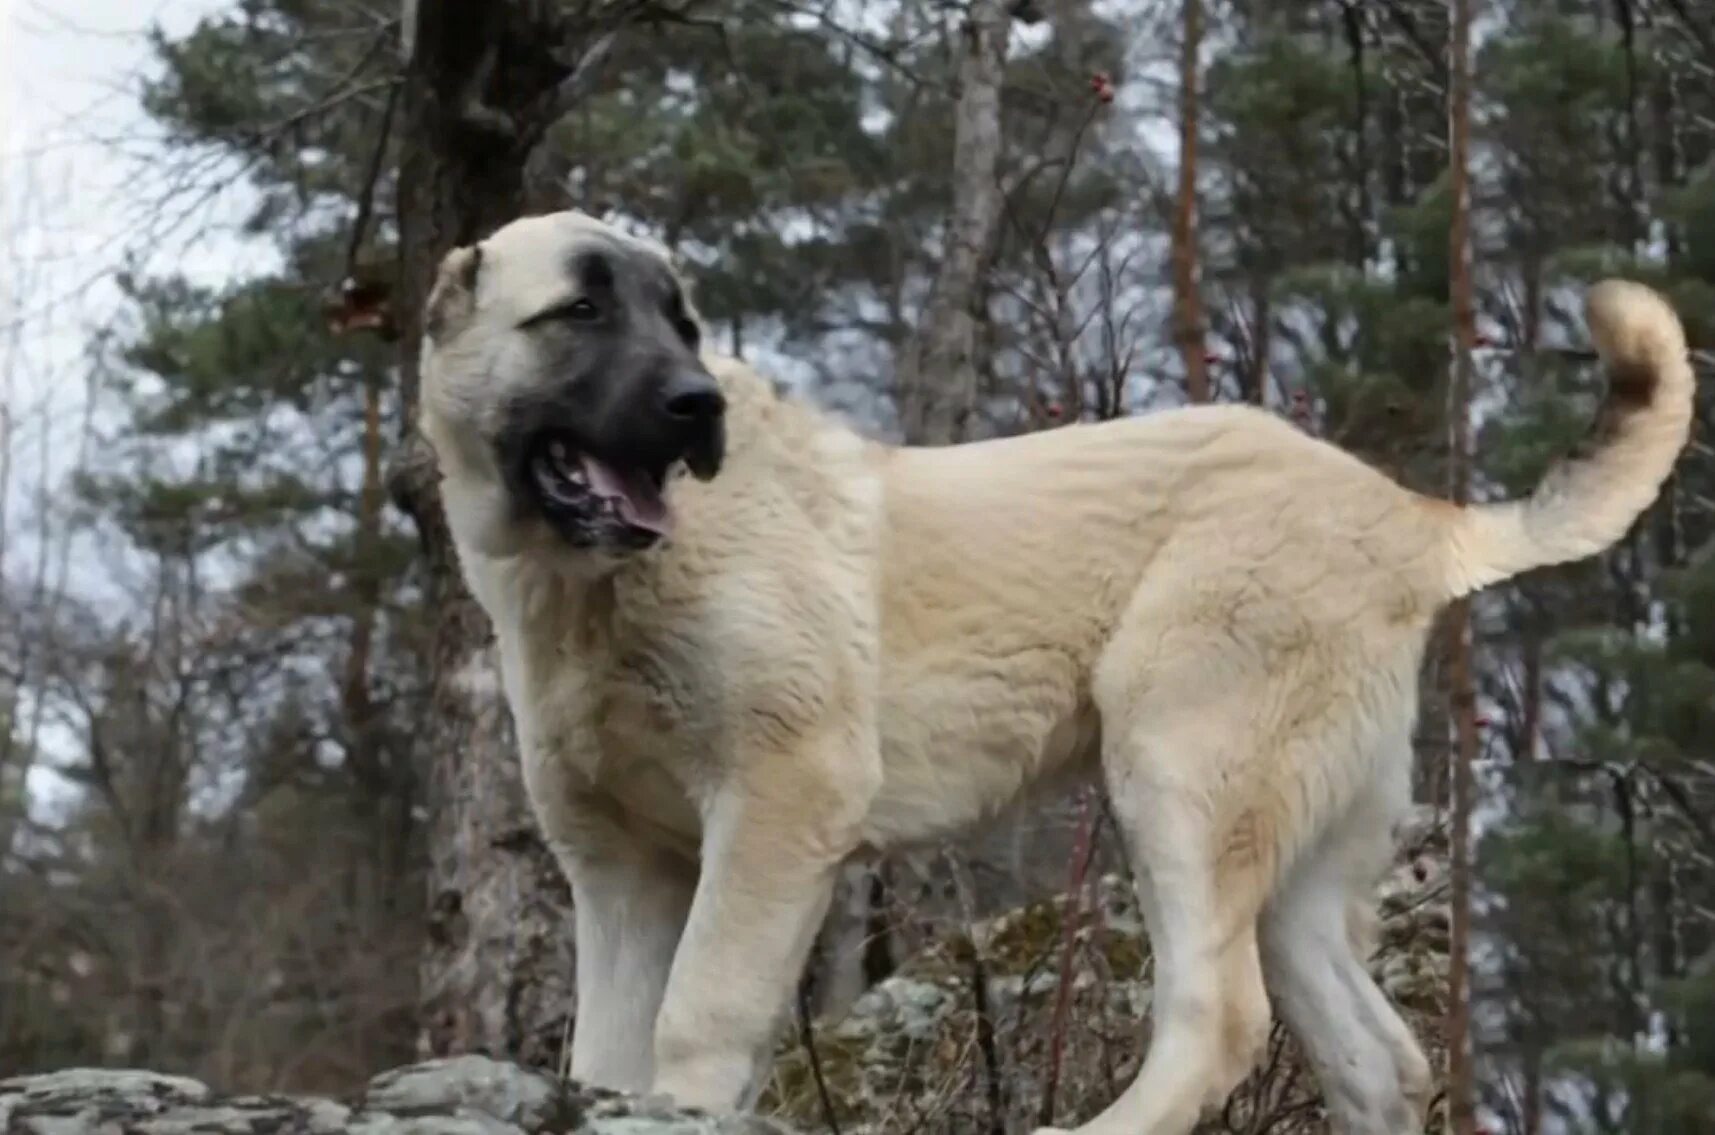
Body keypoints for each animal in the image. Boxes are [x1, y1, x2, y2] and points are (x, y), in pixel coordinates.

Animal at [411, 209, 1687, 1131]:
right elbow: (604, 1048)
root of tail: (1408, 515)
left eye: (681, 323)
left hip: (1181, 767)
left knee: (1217, 1018)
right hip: (1295, 852)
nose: (695, 403)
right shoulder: (621, 869)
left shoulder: (778, 800)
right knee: (1372, 1055)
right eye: (580, 310)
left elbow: (695, 1014)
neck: (585, 591)